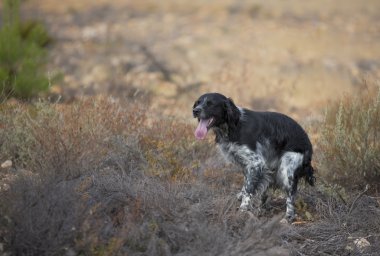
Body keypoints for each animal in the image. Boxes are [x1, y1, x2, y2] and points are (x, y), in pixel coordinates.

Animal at [193, 92, 314, 222]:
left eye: (210, 104)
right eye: (198, 102)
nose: (195, 110)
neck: (234, 125)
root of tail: (309, 145)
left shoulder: (256, 163)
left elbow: (248, 189)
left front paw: (242, 211)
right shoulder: (248, 165)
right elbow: (246, 184)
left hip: (286, 170)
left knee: (291, 197)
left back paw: (287, 218)